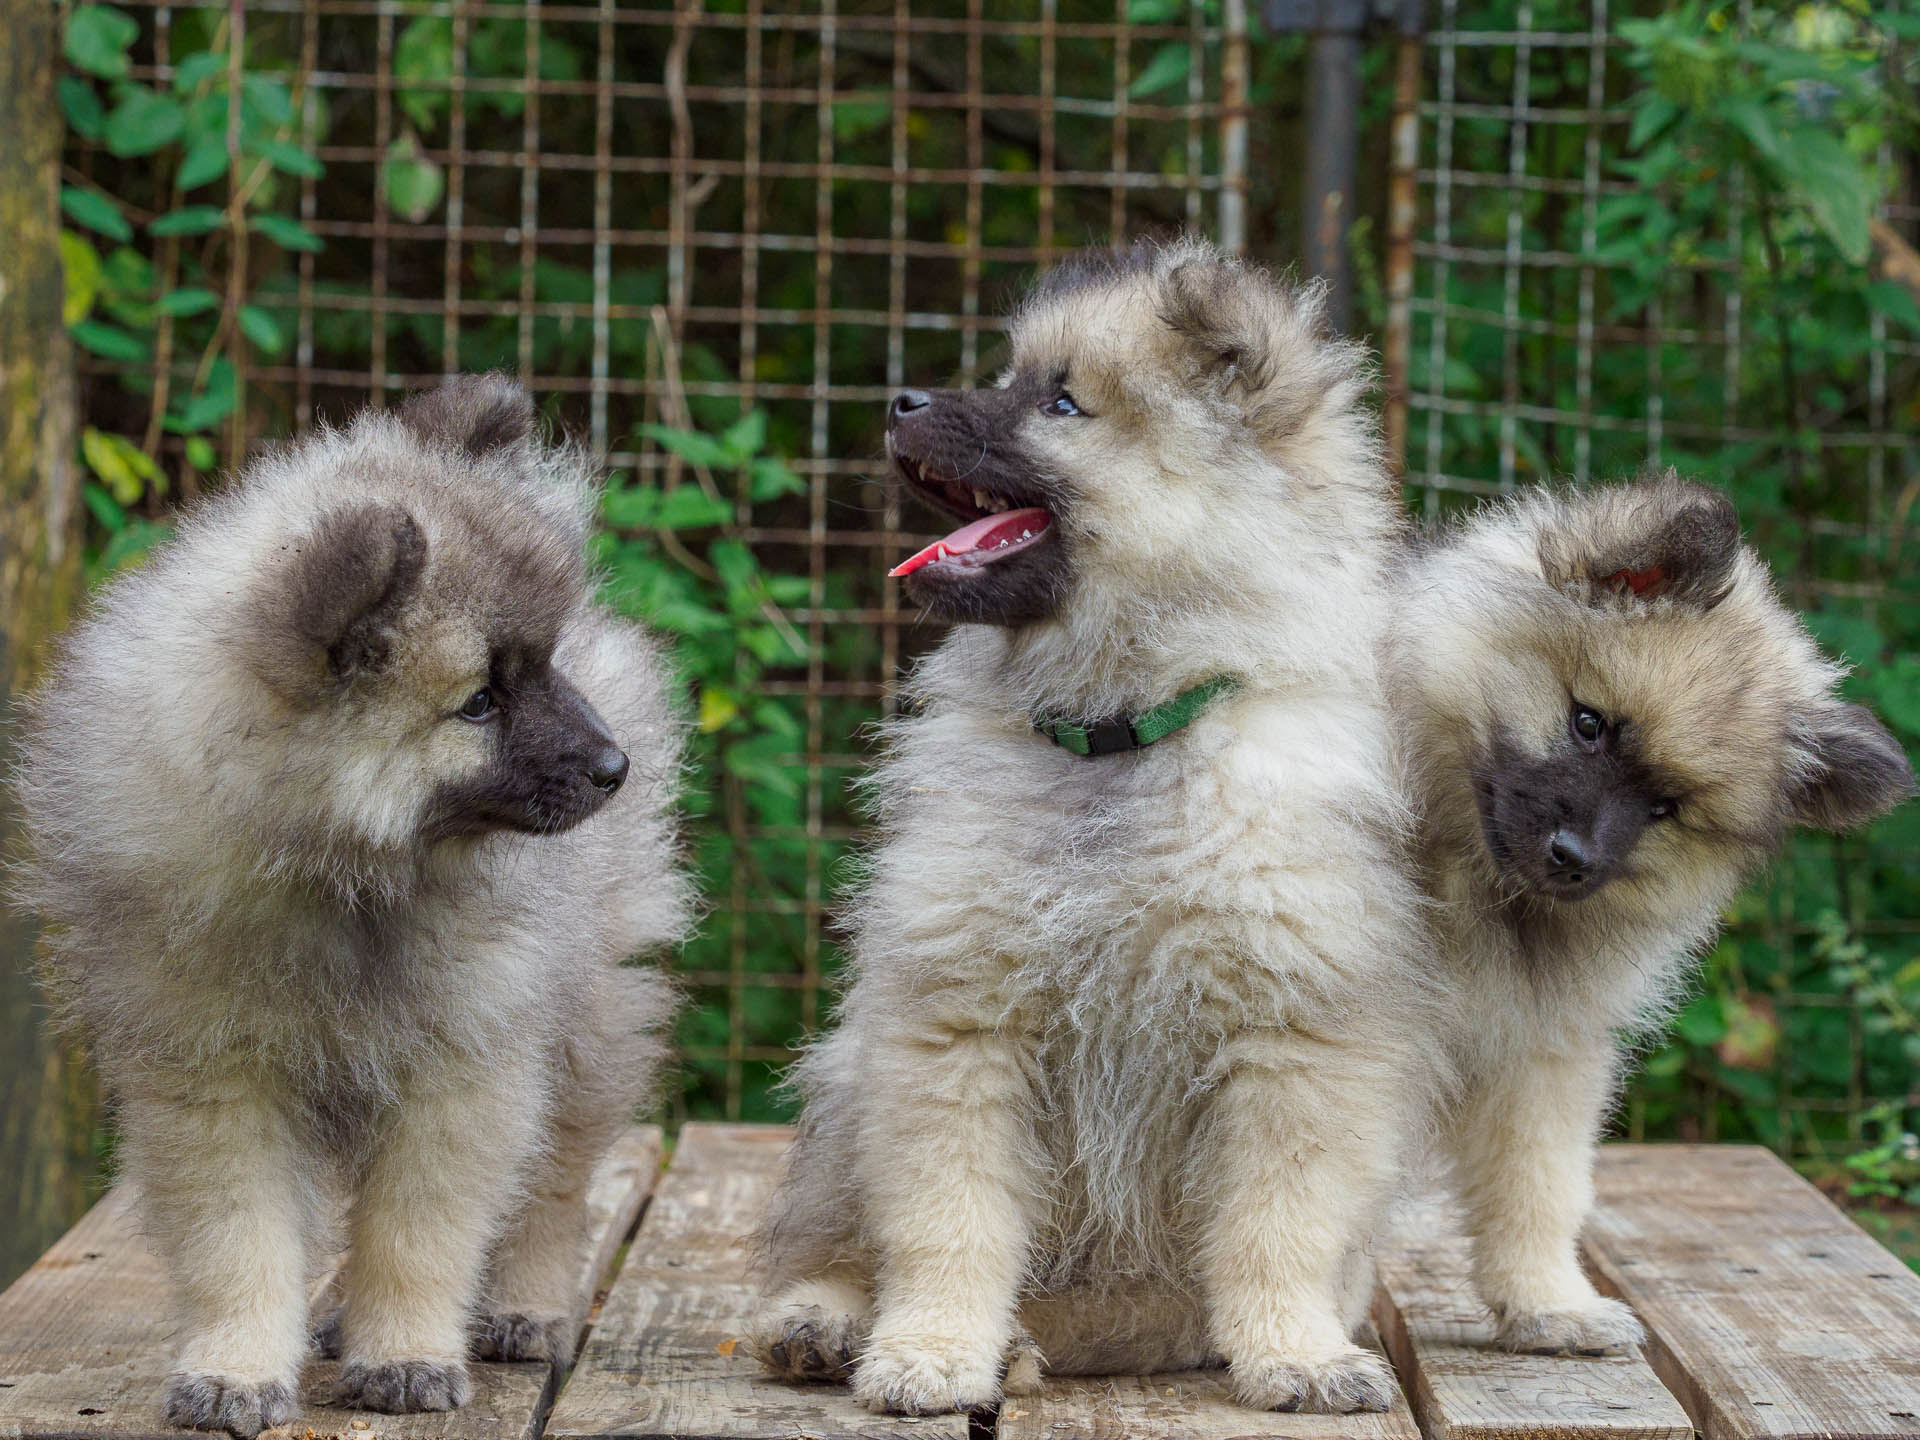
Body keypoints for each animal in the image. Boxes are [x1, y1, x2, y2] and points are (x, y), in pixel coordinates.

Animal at [9, 378, 691, 1436]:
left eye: (543, 664)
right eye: (481, 701)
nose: (614, 767)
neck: (339, 878)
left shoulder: (463, 1063)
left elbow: (418, 1233)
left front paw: (405, 1351)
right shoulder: (213, 1077)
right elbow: (238, 1239)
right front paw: (238, 1367)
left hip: (586, 1020)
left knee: (554, 1181)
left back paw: (524, 1306)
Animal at [748, 240, 1443, 1420]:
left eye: (1062, 404)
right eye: (1010, 374)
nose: (898, 401)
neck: (1115, 738)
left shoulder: (1289, 1046)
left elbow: (1276, 1230)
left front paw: (1296, 1356)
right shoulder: (963, 1029)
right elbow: (948, 1227)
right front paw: (931, 1352)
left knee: (1141, 1314)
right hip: (849, 1086)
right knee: (836, 1243)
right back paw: (828, 1325)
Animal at [1390, 476, 1912, 1367]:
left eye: (1664, 808)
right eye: (1588, 724)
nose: (1573, 859)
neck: (1477, 886)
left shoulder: (1542, 1051)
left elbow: (1539, 1185)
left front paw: (1546, 1305)